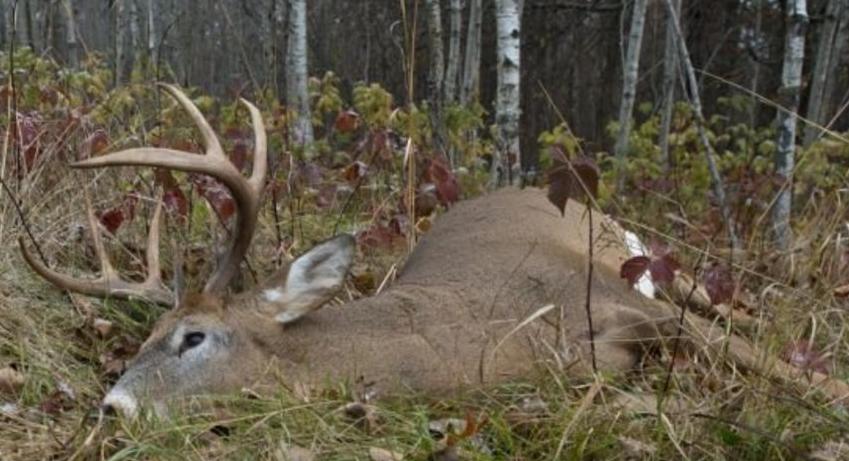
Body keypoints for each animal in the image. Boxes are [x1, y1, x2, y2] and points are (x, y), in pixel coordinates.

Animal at [19, 83, 848, 416]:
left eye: (192, 336)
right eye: (149, 334)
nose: (110, 406)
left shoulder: (610, 297)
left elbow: (792, 373)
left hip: (645, 262)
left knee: (729, 307)